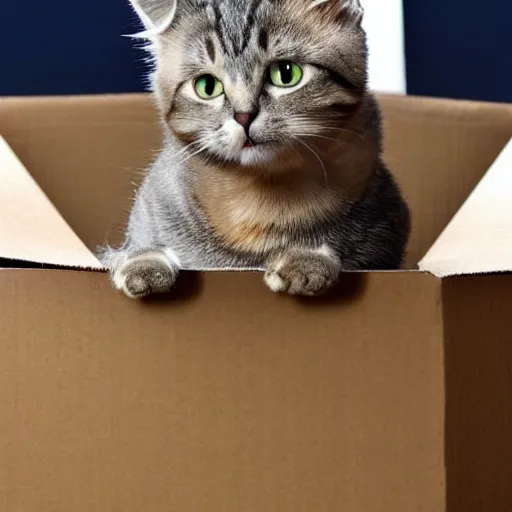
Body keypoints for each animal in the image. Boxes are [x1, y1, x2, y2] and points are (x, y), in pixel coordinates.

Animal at [101, 0, 412, 298]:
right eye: (207, 86)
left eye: (286, 73)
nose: (243, 116)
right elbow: (132, 251)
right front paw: (143, 263)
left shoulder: (383, 238)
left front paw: (307, 259)